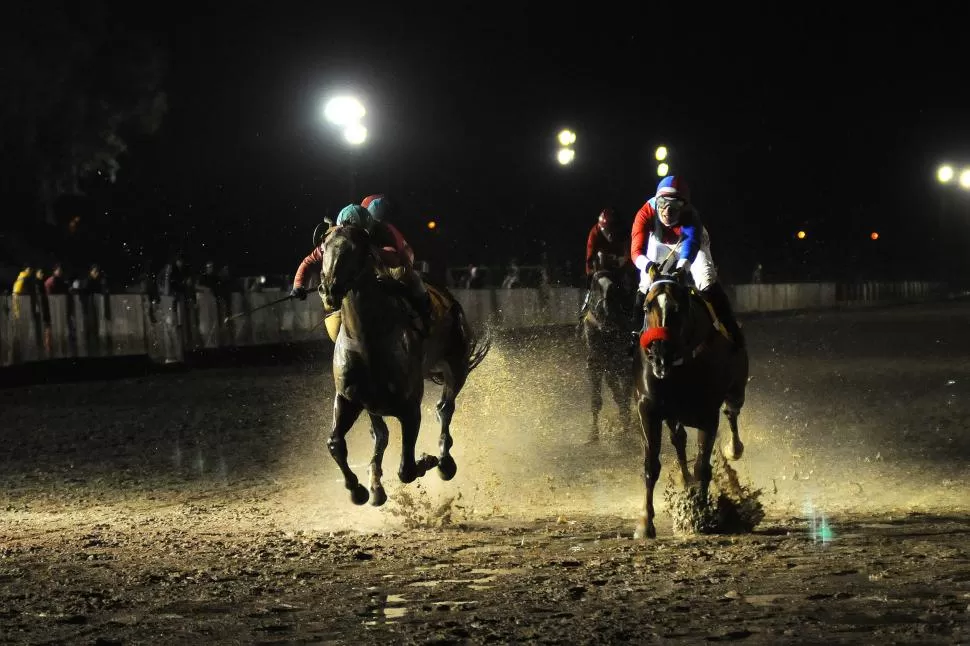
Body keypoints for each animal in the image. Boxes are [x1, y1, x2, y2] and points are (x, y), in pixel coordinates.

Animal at [318, 225, 488, 508]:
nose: (329, 289)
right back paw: (375, 486)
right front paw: (358, 490)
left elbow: (406, 469)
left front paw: (428, 460)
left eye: (355, 249)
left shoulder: (410, 409)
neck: (367, 342)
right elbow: (336, 444)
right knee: (381, 434)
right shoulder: (348, 399)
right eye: (324, 248)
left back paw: (445, 462)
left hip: (457, 366)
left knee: (445, 408)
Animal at [580, 253, 632, 446]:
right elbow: (596, 399)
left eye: (614, 287)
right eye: (594, 286)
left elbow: (623, 394)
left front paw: (626, 424)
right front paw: (593, 434)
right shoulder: (596, 363)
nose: (605, 312)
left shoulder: (623, 364)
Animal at [632, 266, 744, 540]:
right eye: (646, 307)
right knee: (679, 440)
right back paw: (685, 480)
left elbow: (703, 466)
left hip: (736, 390)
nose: (659, 355)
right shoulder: (648, 409)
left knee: (732, 413)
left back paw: (734, 448)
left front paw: (699, 517)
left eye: (678, 308)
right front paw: (645, 523)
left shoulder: (708, 414)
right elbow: (651, 465)